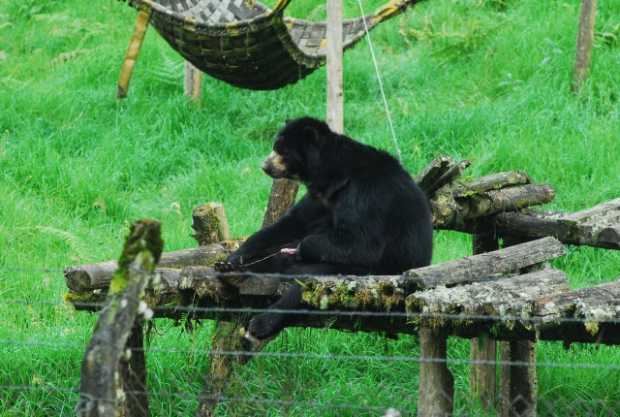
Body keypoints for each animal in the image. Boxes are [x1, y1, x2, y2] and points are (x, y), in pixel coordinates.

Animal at [222, 117, 432, 342]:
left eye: (281, 150)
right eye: (275, 146)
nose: (264, 166)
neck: (331, 177)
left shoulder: (365, 194)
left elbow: (361, 243)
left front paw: (301, 247)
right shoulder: (319, 198)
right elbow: (292, 222)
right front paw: (233, 258)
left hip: (374, 270)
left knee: (310, 281)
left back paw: (262, 323)